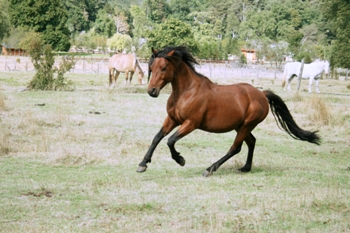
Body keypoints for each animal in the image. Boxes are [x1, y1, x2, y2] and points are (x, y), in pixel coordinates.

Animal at [136, 46, 320, 177]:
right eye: (152, 67)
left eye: (164, 67)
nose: (151, 91)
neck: (186, 92)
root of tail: (262, 94)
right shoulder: (172, 119)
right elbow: (157, 137)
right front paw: (143, 164)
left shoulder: (191, 123)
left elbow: (170, 141)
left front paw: (180, 159)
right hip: (241, 126)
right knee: (251, 142)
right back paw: (245, 168)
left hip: (246, 125)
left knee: (235, 148)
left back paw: (210, 169)